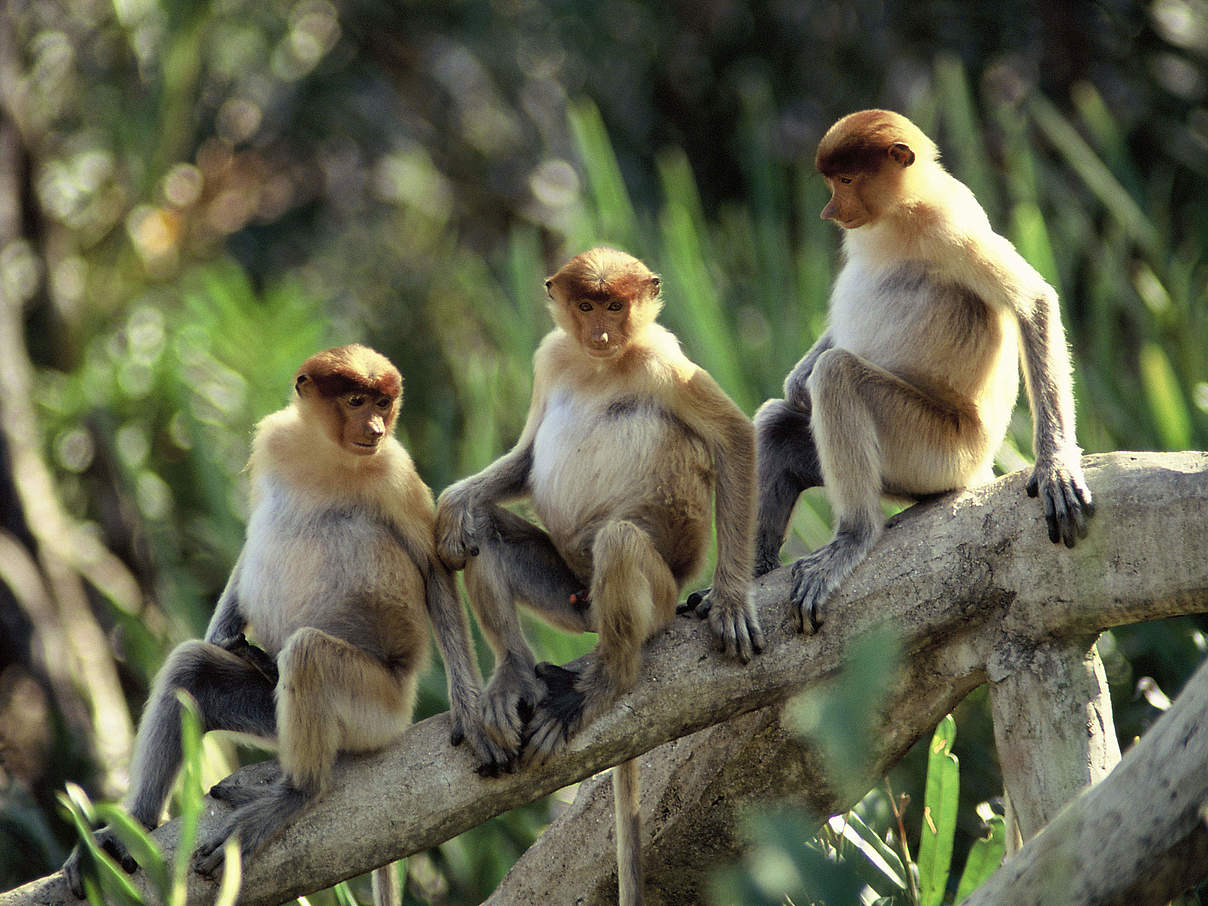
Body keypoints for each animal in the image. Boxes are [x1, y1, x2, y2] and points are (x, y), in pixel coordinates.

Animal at [58, 345, 495, 903]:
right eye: (356, 401)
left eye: (383, 402)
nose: (375, 428)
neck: (325, 452)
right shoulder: (274, 441)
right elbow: (252, 541)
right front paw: (227, 637)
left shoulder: (395, 472)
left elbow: (435, 569)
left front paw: (470, 713)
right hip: (272, 709)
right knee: (191, 669)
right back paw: (131, 827)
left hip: (377, 710)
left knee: (308, 653)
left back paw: (294, 793)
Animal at [430, 245, 758, 903]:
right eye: (585, 305)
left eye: (615, 305)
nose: (602, 333)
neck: (603, 366)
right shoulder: (551, 356)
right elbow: (527, 459)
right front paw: (452, 507)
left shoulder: (663, 359)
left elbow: (733, 437)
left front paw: (731, 603)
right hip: (566, 594)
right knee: (488, 532)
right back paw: (512, 673)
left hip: (655, 594)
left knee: (620, 540)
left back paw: (607, 681)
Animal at [753, 109, 1096, 632]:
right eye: (831, 182)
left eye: (845, 180)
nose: (829, 212)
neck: (903, 208)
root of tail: (977, 468)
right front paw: (795, 384)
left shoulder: (949, 228)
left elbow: (1033, 303)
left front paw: (1056, 465)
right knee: (777, 423)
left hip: (937, 453)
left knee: (838, 375)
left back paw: (853, 536)